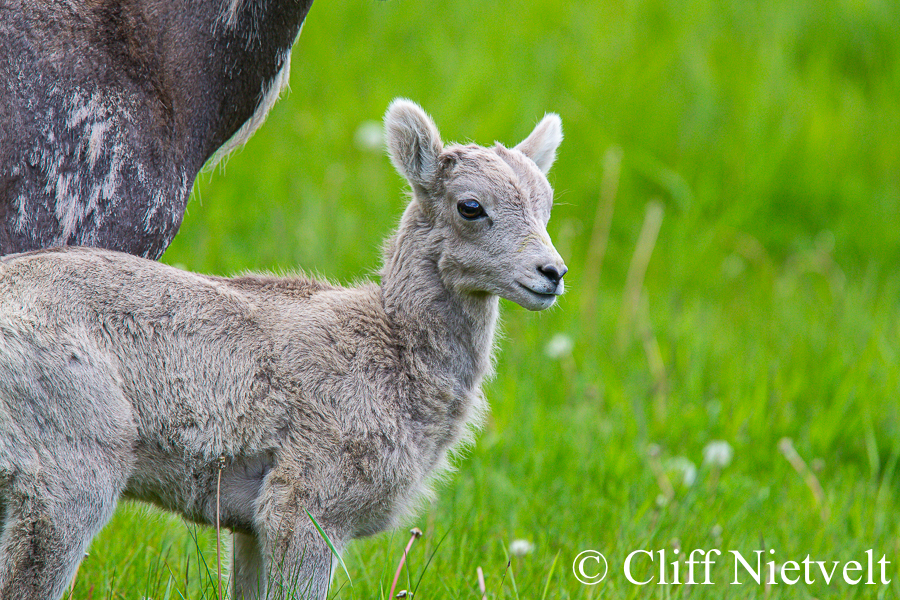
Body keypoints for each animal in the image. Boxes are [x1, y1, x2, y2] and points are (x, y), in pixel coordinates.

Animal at [0, 101, 564, 596]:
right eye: (470, 207)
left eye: (547, 204)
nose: (553, 273)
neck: (395, 349)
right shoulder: (306, 508)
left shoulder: (251, 525)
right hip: (68, 475)